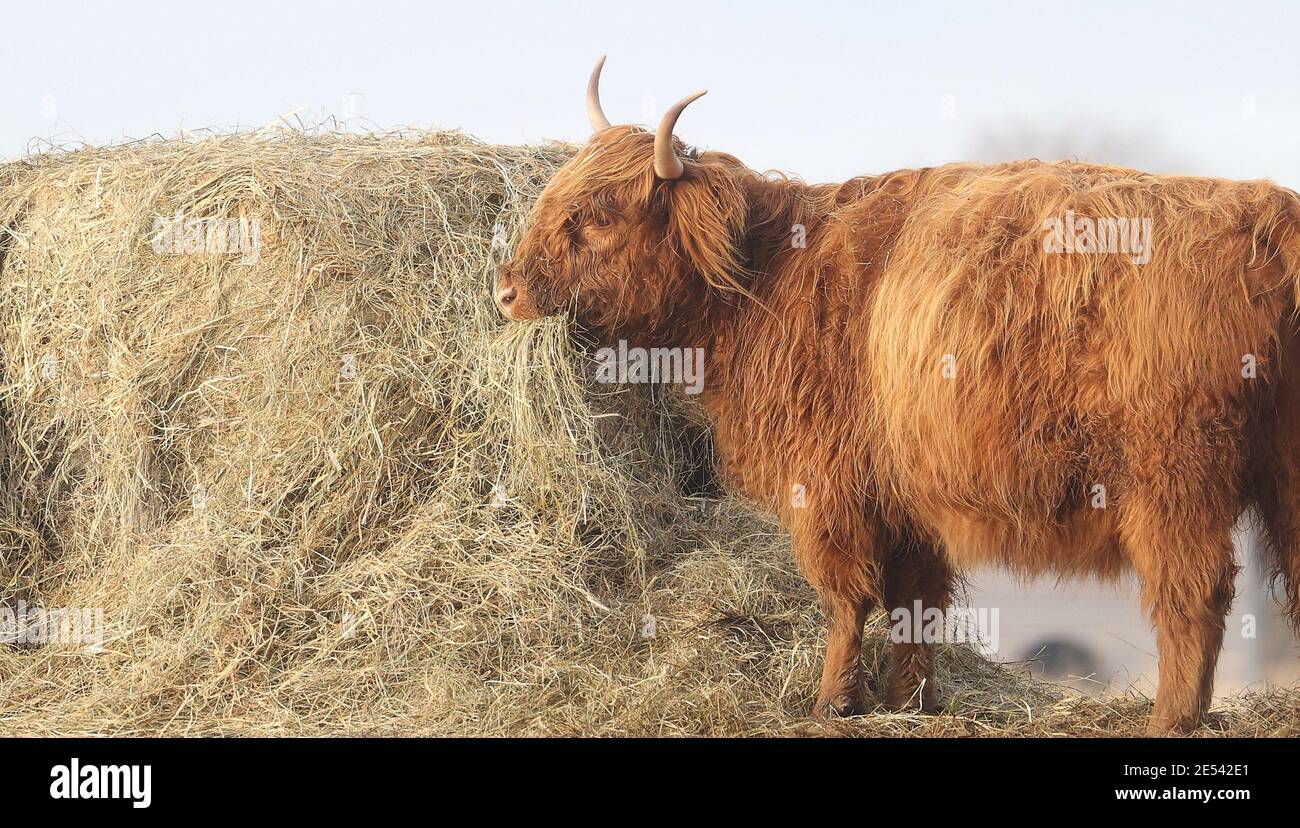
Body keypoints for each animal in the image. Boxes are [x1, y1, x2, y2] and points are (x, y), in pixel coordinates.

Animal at [493, 56, 1300, 727]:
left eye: (600, 218)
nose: (505, 290)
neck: (767, 278)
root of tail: (1267, 215)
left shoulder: (828, 483)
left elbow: (847, 597)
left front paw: (832, 701)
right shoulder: (907, 494)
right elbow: (916, 600)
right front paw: (909, 700)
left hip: (1174, 480)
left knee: (1194, 594)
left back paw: (1172, 718)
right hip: (1279, 473)